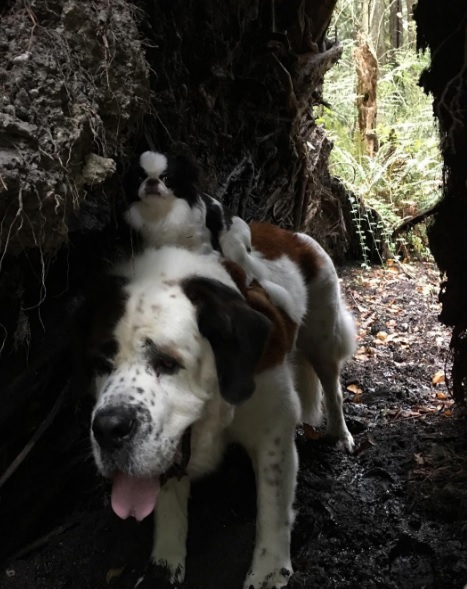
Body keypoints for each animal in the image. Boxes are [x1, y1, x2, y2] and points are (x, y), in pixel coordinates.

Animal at [80, 222, 356, 588]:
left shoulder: (273, 429)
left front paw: (269, 572)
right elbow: (168, 503)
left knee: (332, 383)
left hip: (324, 334)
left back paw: (340, 434)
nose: (108, 428)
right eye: (101, 363)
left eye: (167, 362)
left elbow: (272, 508)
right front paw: (163, 567)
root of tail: (289, 233)